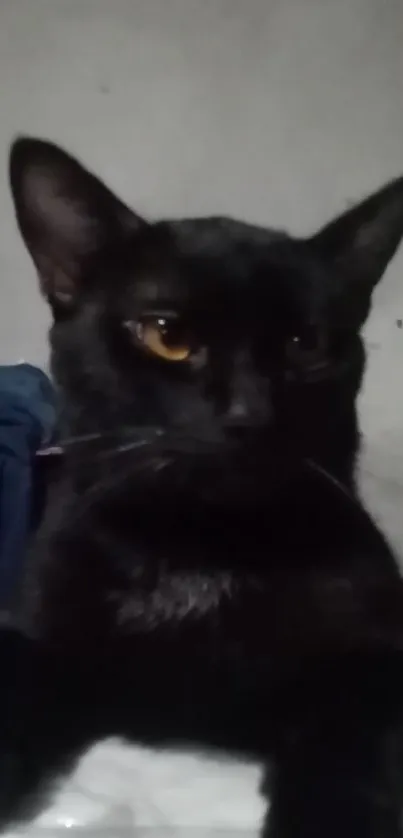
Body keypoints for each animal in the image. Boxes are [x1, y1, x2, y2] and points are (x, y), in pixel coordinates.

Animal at [2, 139, 403, 838]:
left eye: (305, 345)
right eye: (167, 336)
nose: (249, 415)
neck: (199, 551)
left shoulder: (378, 657)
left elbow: (351, 748)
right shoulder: (36, 636)